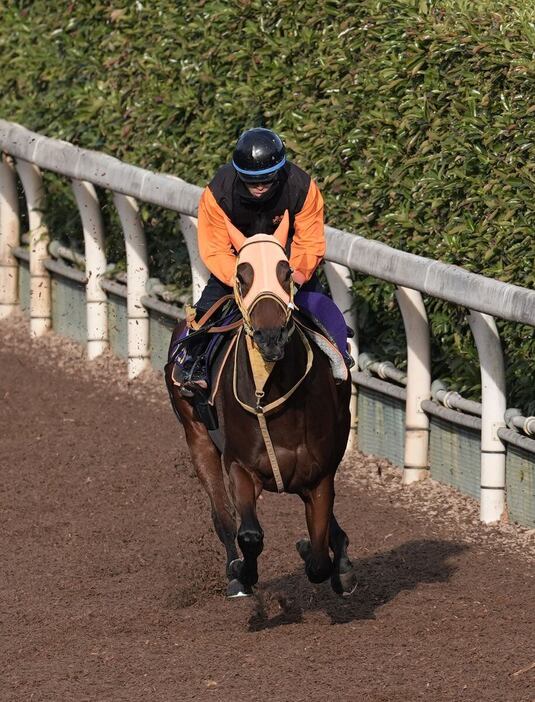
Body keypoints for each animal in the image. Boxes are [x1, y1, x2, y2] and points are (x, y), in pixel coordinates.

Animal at [163, 212, 356, 596]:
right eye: (242, 275)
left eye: (286, 271)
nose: (270, 336)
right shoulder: (240, 466)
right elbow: (249, 534)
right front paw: (245, 573)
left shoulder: (320, 475)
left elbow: (319, 556)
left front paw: (320, 555)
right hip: (197, 436)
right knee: (222, 516)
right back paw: (234, 571)